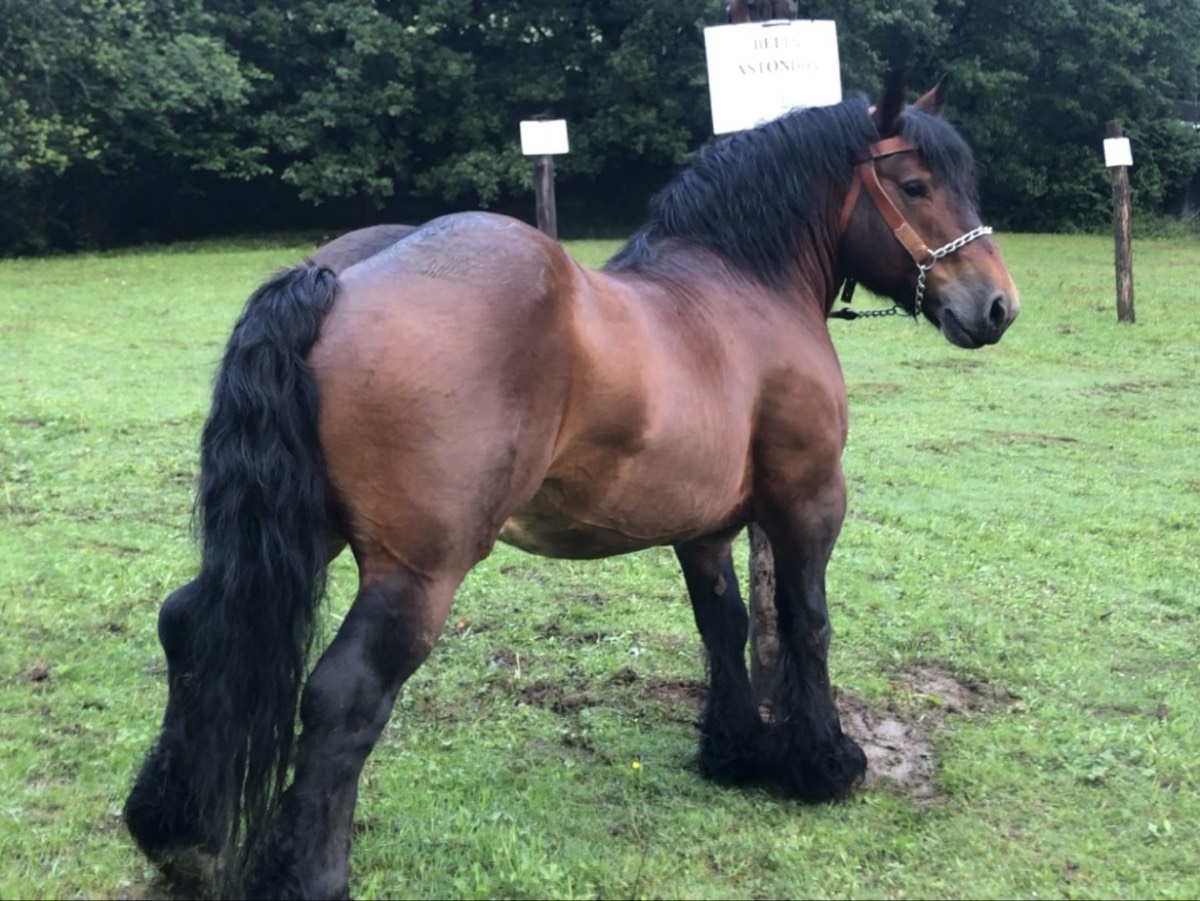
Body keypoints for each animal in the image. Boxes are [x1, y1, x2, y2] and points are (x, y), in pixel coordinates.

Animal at [123, 77, 1018, 899]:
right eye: (916, 184)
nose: (997, 305)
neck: (743, 285)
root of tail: (334, 278)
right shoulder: (807, 503)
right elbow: (808, 625)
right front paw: (824, 761)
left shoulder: (705, 528)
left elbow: (722, 627)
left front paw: (733, 752)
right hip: (418, 572)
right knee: (344, 694)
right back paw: (312, 874)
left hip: (306, 532)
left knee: (191, 623)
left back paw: (178, 836)